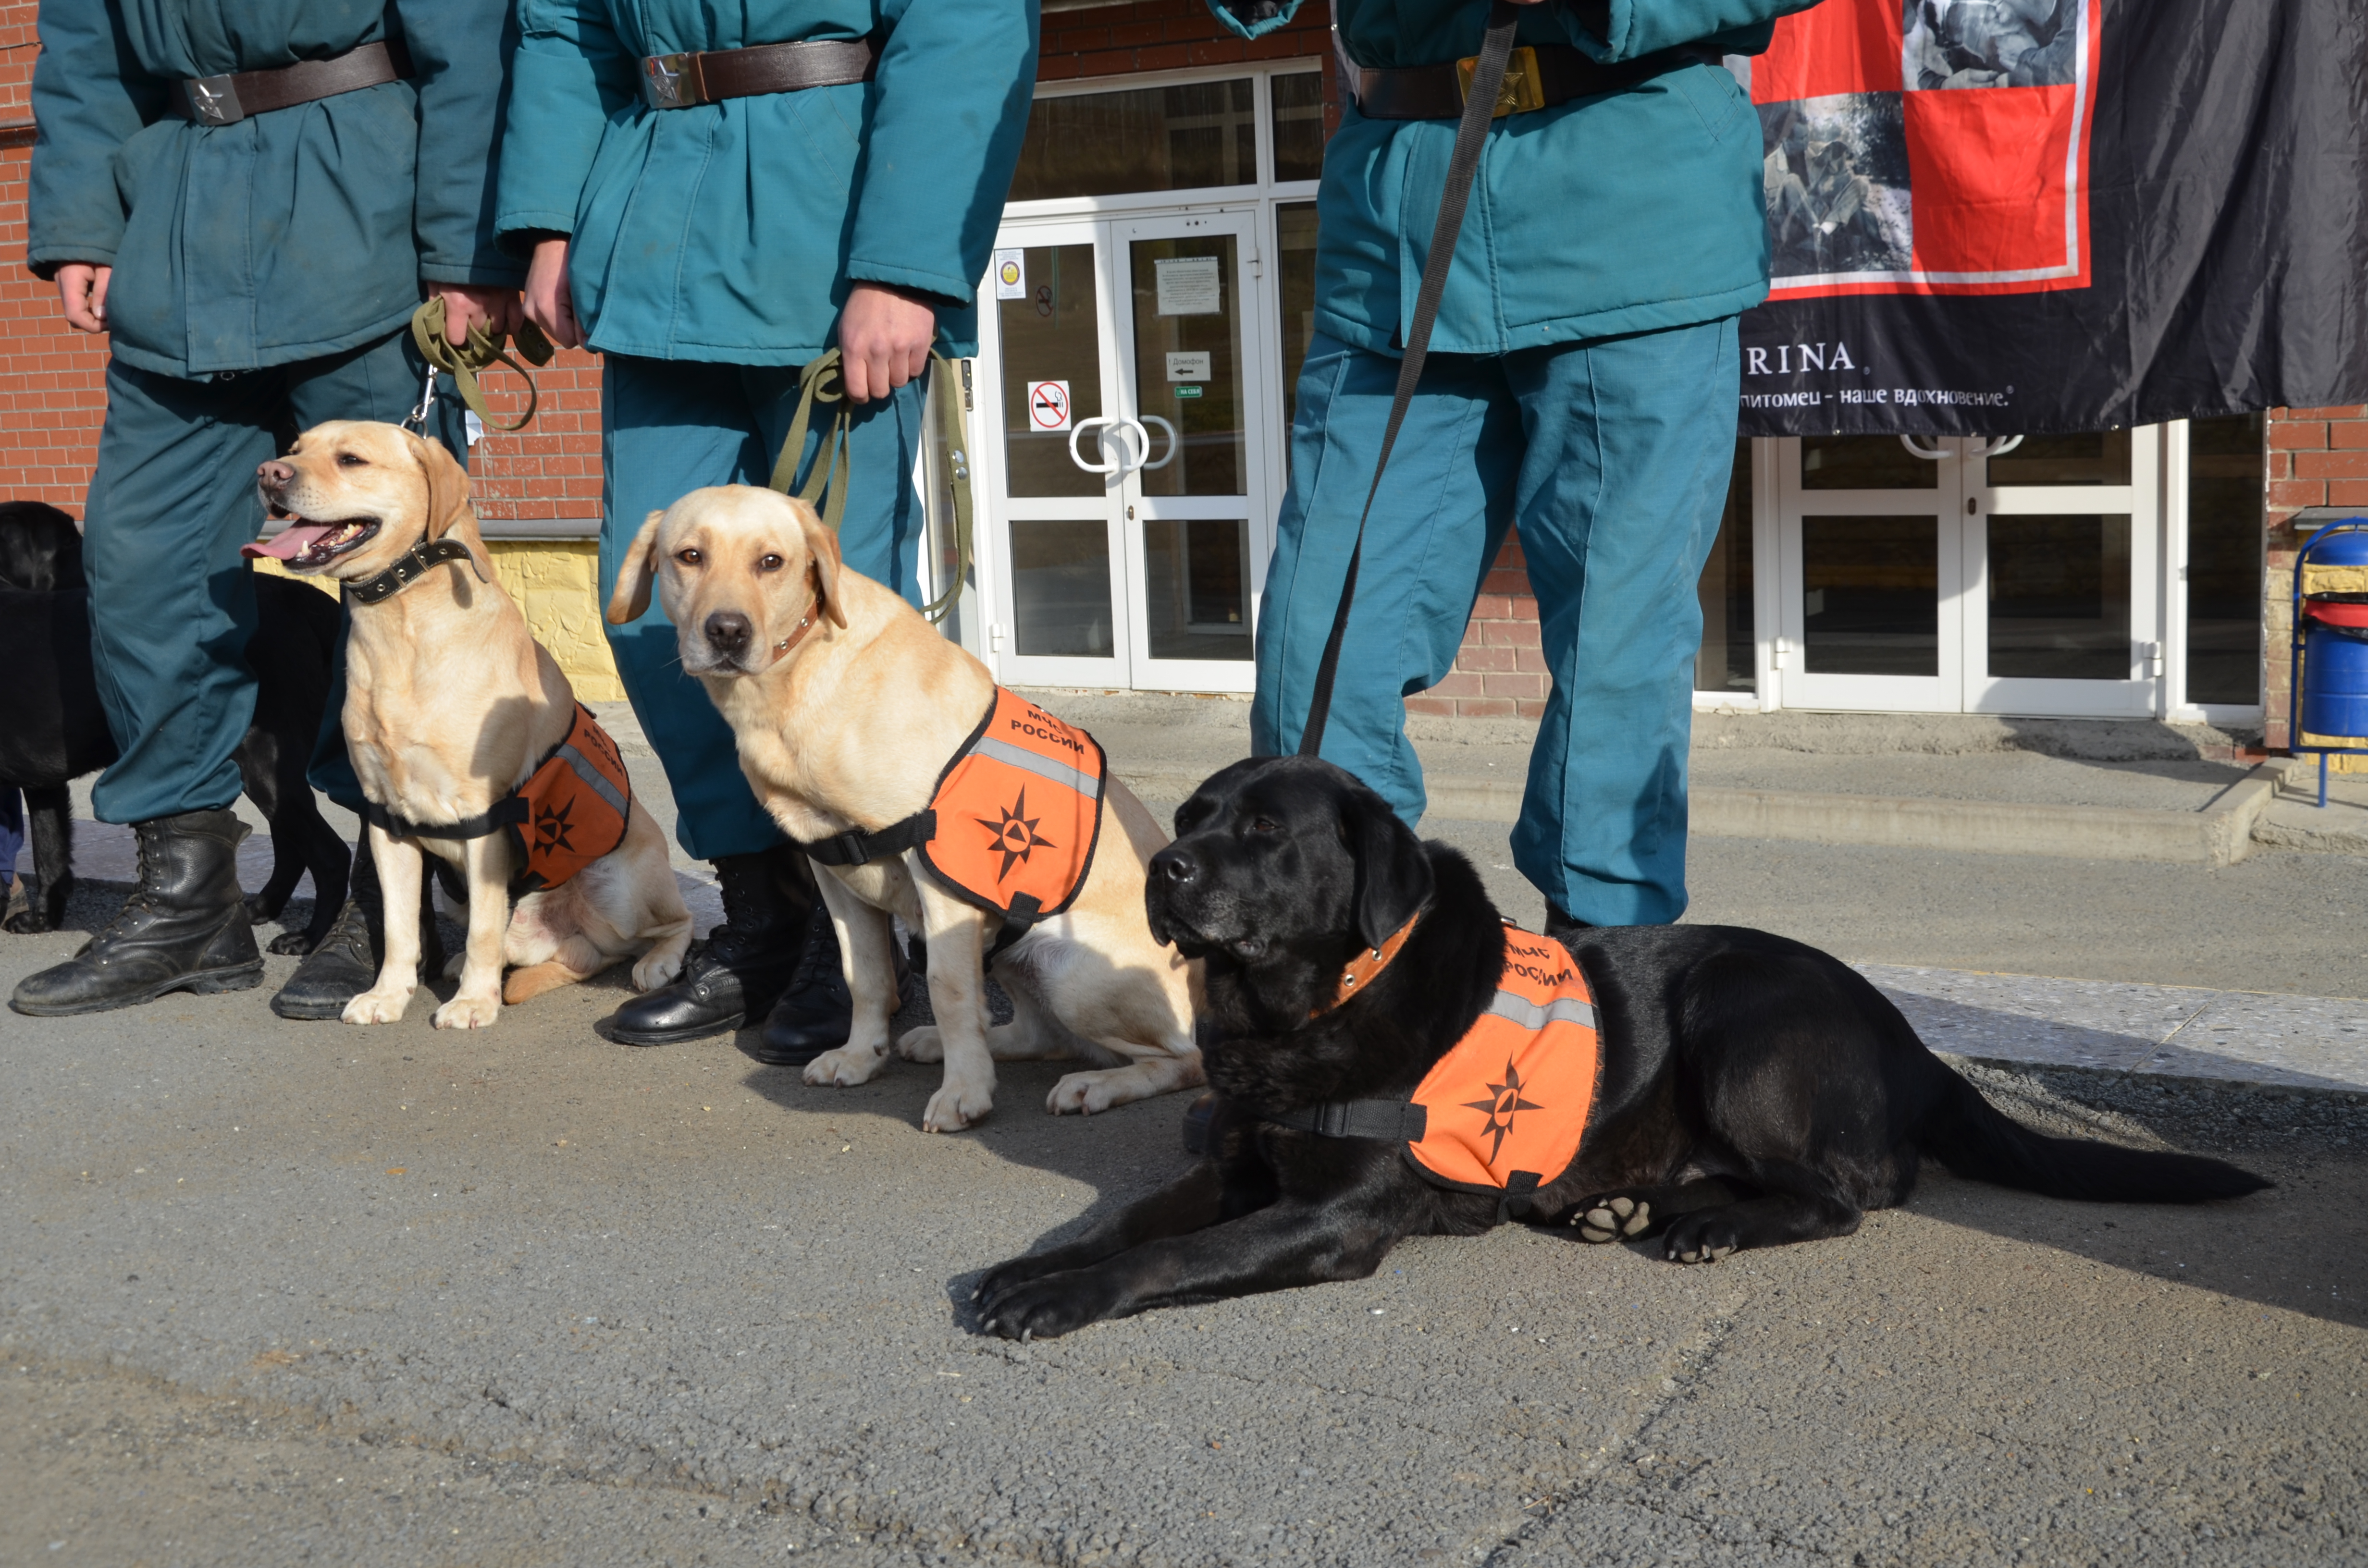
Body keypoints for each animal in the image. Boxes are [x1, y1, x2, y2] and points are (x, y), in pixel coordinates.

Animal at [971, 758, 2264, 1335]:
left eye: (1260, 830)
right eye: (1190, 818)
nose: (1164, 870)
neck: (1310, 1010)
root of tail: (1904, 1031)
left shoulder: (1332, 1216)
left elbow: (1172, 1257)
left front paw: (1062, 1296)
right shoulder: (1238, 1166)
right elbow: (1131, 1221)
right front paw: (1028, 1268)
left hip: (1740, 1020)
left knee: (1852, 1191)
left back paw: (1706, 1226)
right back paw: (1625, 1206)